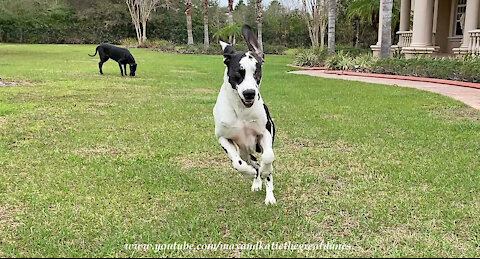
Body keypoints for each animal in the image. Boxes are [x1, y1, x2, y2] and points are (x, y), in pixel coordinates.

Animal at [215, 25, 278, 206]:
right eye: (239, 72)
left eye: (257, 72)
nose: (250, 93)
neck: (241, 111)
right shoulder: (223, 137)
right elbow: (237, 163)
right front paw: (248, 173)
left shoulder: (265, 132)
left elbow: (268, 157)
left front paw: (265, 170)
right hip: (244, 150)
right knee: (251, 162)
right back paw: (255, 179)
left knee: (264, 165)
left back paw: (269, 194)